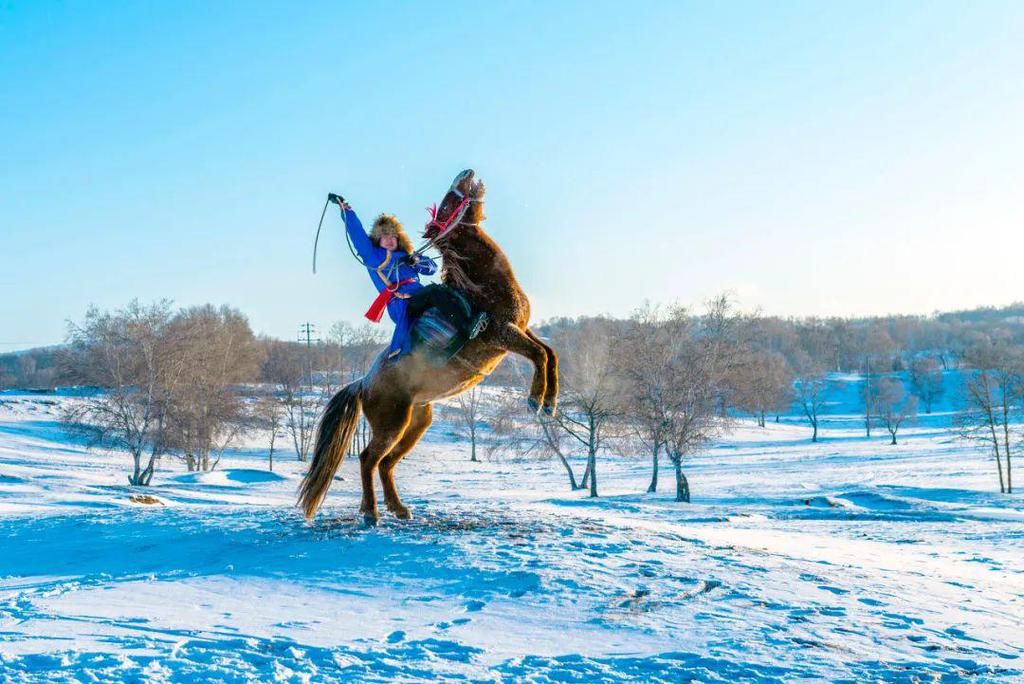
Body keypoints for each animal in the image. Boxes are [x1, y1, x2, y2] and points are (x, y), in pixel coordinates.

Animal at [299, 169, 561, 524]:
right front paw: (537, 401)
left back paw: (398, 508)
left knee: (386, 464)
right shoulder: (503, 334)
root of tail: (363, 383)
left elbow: (549, 353)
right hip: (392, 423)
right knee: (369, 459)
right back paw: (371, 512)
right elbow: (538, 354)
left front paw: (550, 402)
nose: (467, 172)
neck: (481, 290)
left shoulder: (520, 329)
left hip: (417, 421)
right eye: (448, 202)